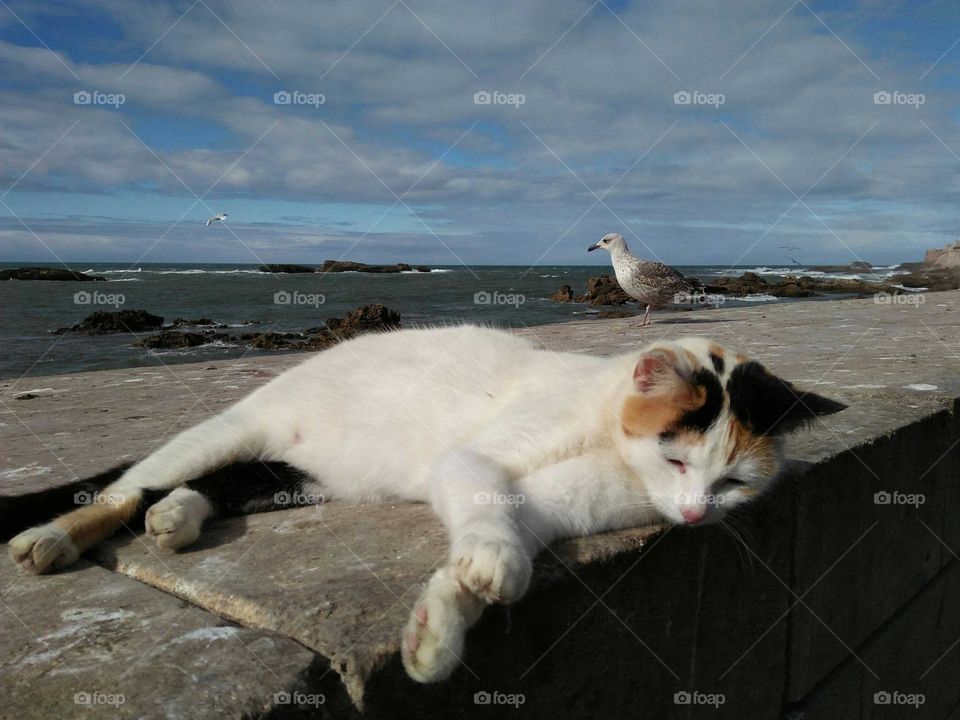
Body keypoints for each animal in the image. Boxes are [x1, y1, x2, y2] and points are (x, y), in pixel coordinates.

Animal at [9, 324, 848, 680]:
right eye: (676, 457)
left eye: (733, 482)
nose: (697, 514)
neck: (616, 453)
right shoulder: (475, 464)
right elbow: (487, 514)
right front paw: (491, 571)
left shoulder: (547, 511)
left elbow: (481, 557)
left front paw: (436, 635)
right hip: (226, 432)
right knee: (126, 484)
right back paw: (53, 538)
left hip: (304, 477)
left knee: (217, 487)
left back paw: (175, 519)